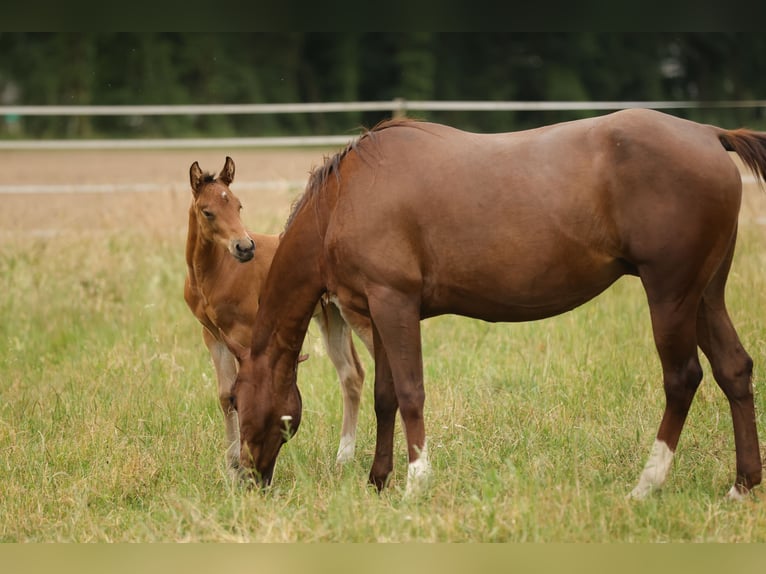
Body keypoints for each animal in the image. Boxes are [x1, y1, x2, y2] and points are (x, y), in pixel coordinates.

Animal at [183, 156, 372, 477]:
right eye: (208, 211)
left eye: (238, 205)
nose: (245, 247)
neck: (215, 271)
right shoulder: (212, 335)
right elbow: (225, 396)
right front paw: (232, 465)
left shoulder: (244, 332)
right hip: (333, 317)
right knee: (352, 375)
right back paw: (343, 459)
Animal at [229, 109, 765, 499]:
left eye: (234, 400)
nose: (246, 480)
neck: (344, 199)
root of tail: (709, 134)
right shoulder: (376, 312)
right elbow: (385, 396)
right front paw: (378, 481)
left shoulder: (395, 304)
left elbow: (410, 393)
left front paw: (415, 482)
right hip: (703, 296)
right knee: (734, 369)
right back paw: (742, 486)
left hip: (670, 294)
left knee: (682, 379)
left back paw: (646, 485)